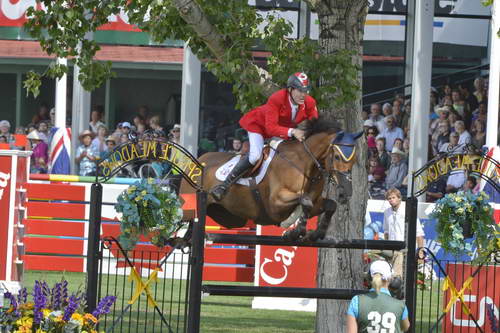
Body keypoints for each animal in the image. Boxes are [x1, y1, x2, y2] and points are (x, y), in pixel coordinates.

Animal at [182, 117, 362, 241]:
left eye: (355, 159)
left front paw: (315, 234)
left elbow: (329, 205)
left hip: (230, 218)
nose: (346, 193)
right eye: (337, 157)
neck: (306, 165)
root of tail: (197, 161)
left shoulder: (316, 201)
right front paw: (295, 231)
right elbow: (305, 201)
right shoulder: (275, 204)